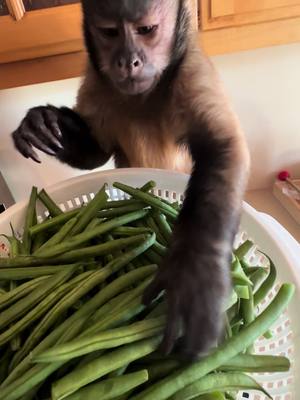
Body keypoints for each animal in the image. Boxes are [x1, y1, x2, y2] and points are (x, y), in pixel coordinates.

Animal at [11, 0, 250, 358]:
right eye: (110, 32)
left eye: (146, 30)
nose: (128, 60)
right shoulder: (96, 82)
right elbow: (95, 154)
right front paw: (43, 122)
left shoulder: (192, 73)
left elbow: (224, 148)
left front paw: (196, 273)